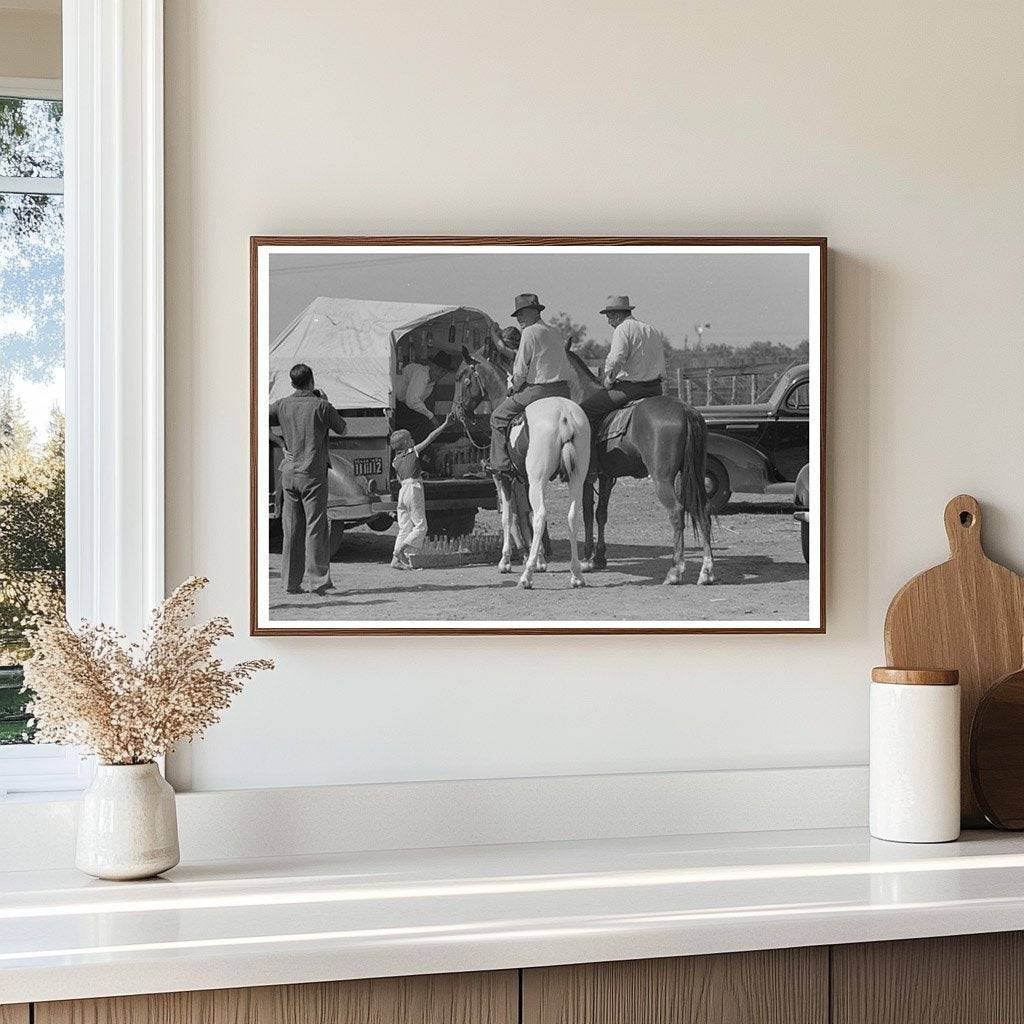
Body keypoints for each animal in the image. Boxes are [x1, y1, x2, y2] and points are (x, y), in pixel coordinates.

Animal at [452, 350, 589, 589]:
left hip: (538, 480)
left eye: (462, 378)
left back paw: (527, 576)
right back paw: (576, 574)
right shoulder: (524, 480)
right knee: (571, 516)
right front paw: (540, 559)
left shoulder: (504, 478)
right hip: (575, 478)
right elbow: (526, 515)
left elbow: (509, 517)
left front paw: (506, 561)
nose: (458, 411)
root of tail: (564, 415)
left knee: (541, 516)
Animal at [565, 348, 716, 585]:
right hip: (696, 475)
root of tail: (684, 409)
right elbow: (601, 514)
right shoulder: (606, 477)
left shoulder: (586, 477)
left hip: (662, 479)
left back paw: (675, 571)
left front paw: (587, 560)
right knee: (704, 510)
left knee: (676, 512)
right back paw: (707, 571)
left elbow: (588, 513)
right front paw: (599, 558)